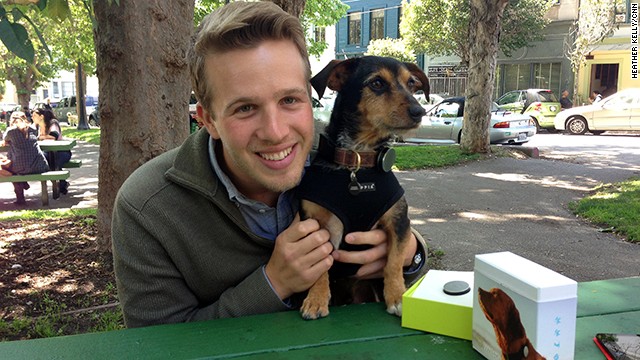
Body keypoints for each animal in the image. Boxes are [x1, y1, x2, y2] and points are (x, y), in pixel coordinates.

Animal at [296, 54, 430, 320]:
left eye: (411, 84)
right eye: (376, 83)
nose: (419, 111)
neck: (357, 160)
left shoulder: (399, 222)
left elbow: (394, 261)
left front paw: (397, 296)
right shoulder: (314, 225)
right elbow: (319, 267)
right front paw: (315, 300)